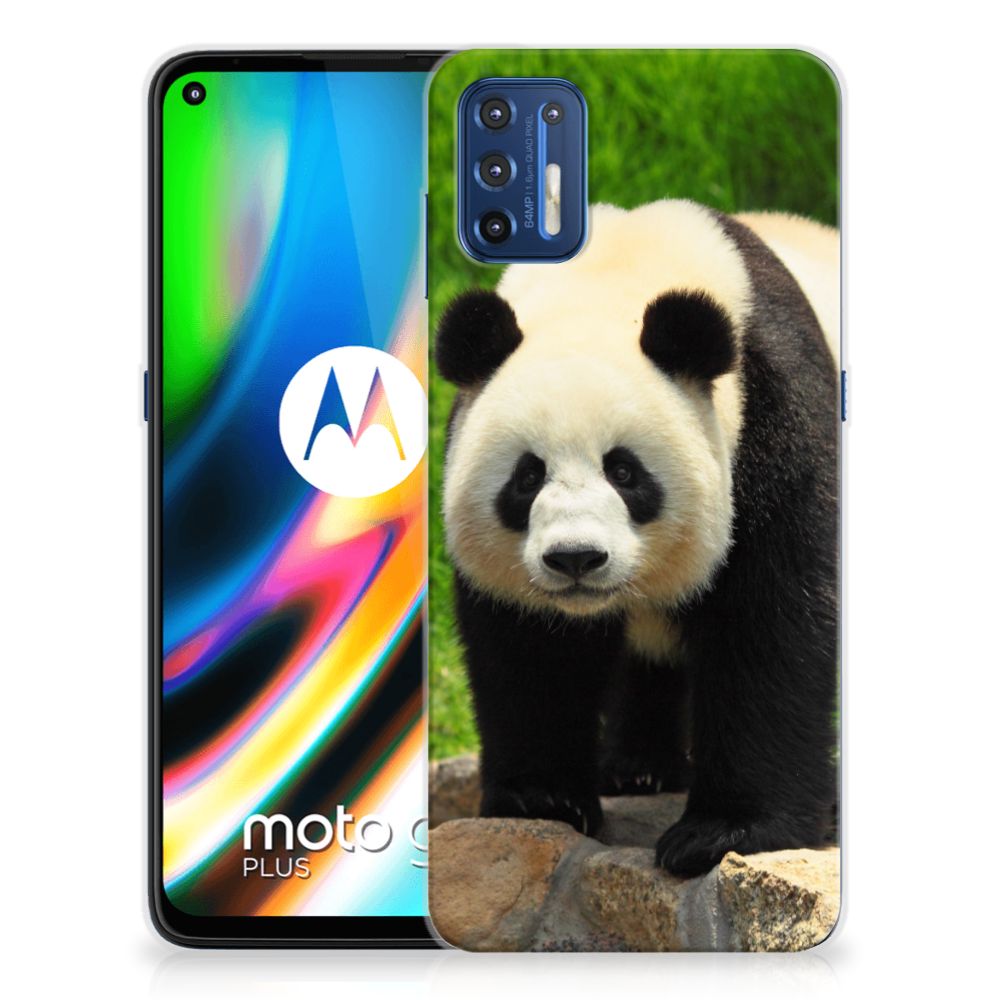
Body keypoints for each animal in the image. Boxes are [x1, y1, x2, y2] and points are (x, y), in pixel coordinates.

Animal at [434, 200, 839, 877]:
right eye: (527, 476)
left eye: (624, 472)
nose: (575, 558)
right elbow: (530, 649)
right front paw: (543, 799)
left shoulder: (774, 418)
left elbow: (772, 622)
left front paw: (723, 832)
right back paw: (639, 769)